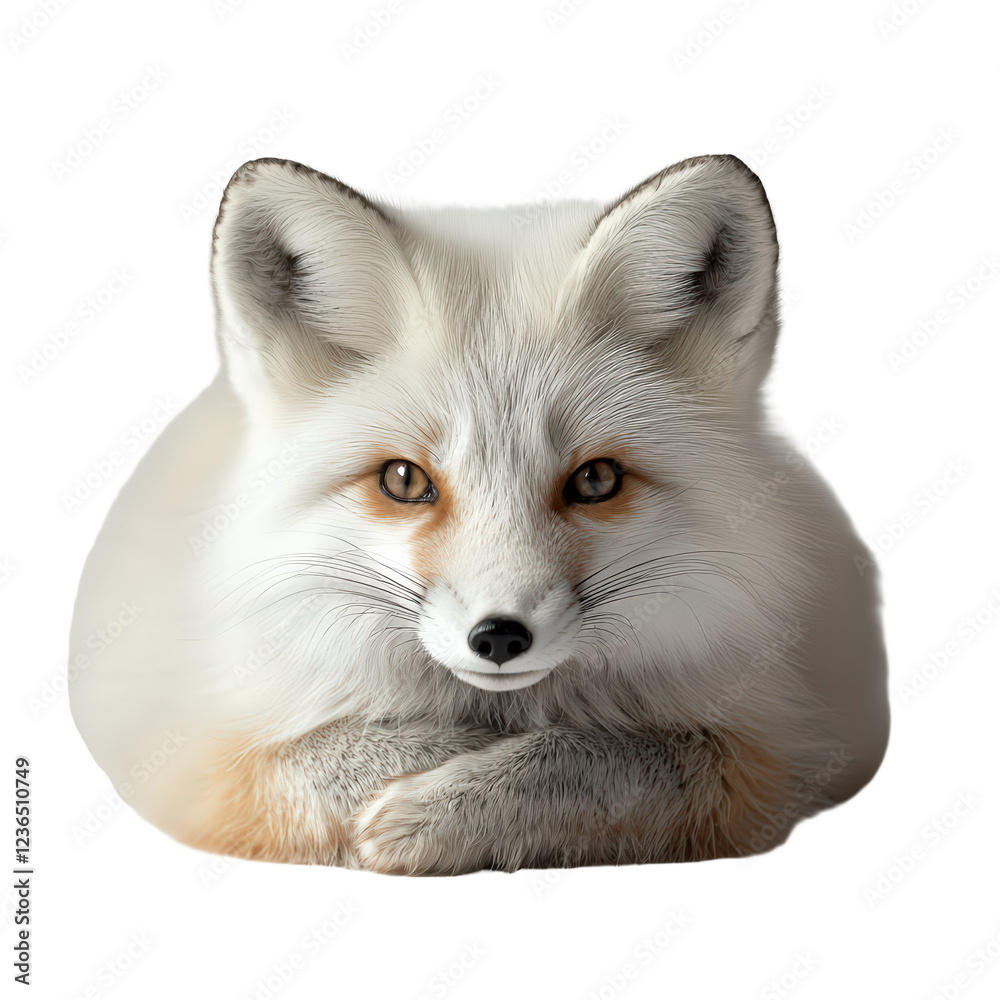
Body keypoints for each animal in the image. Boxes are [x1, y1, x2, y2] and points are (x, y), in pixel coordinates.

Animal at [69, 153, 889, 875]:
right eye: (404, 480)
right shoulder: (186, 761)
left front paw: (451, 803)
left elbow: (627, 755)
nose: (499, 636)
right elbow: (310, 753)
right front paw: (430, 765)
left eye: (595, 479)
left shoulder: (773, 755)